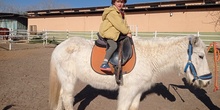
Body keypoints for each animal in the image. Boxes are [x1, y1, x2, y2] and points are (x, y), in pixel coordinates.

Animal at [49, 35, 211, 109]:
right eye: (201, 56)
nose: (207, 81)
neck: (148, 57)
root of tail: (60, 46)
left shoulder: (137, 91)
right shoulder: (127, 91)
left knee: (61, 97)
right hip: (69, 80)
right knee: (67, 99)